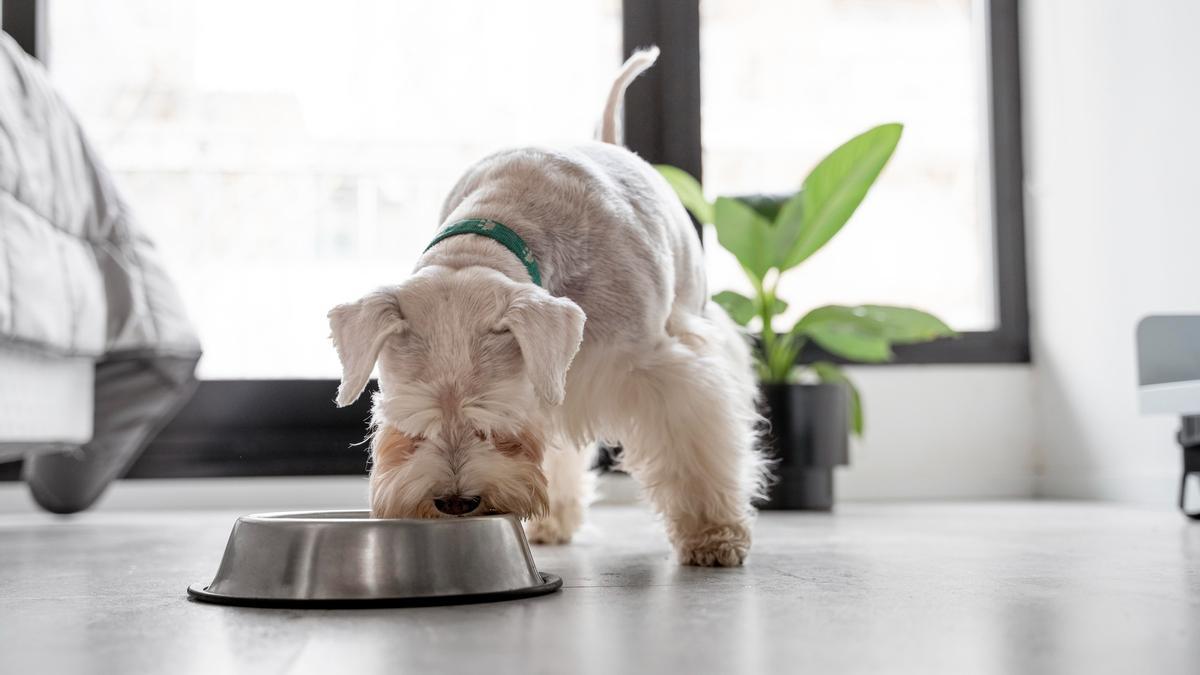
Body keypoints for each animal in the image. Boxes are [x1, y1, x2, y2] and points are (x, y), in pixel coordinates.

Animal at [324, 45, 763, 562]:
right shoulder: (549, 383)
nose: (455, 502)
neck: (496, 228)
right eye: (411, 425)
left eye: (495, 421)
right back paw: (553, 521)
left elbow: (691, 446)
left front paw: (713, 534)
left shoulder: (660, 370)